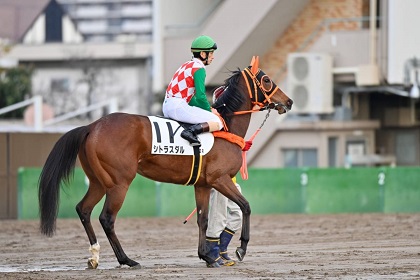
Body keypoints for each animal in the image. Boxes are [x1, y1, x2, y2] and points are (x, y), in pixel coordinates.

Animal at [37, 55, 292, 268]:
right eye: (266, 80)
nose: (288, 102)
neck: (226, 127)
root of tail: (92, 126)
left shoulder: (203, 185)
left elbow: (203, 219)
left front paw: (207, 256)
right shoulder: (219, 179)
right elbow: (246, 206)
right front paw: (241, 248)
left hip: (99, 181)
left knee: (84, 209)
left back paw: (94, 256)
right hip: (120, 183)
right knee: (106, 218)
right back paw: (126, 259)